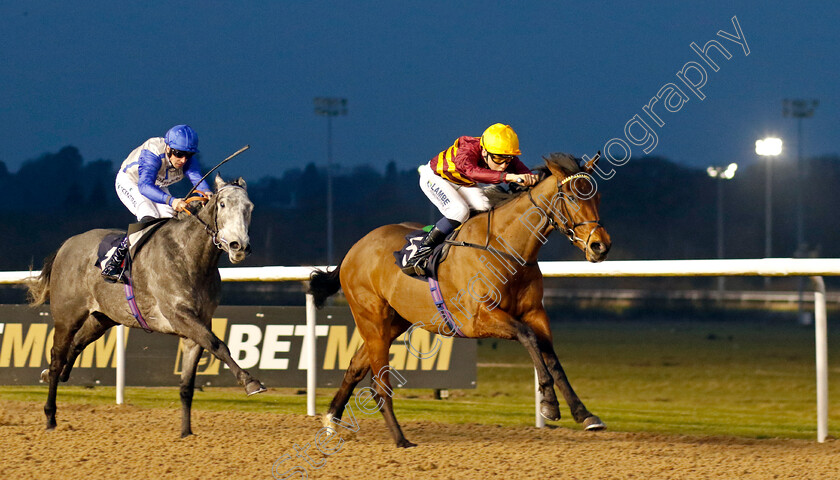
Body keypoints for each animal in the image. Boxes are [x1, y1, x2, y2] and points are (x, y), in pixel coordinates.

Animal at [28, 174, 266, 436]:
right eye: (222, 204)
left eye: (250, 207)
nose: (239, 246)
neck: (189, 256)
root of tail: (66, 245)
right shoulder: (179, 315)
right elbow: (218, 344)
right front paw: (250, 382)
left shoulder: (196, 327)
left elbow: (187, 385)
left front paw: (186, 432)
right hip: (67, 316)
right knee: (57, 356)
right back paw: (50, 416)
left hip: (102, 317)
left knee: (77, 343)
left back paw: (57, 375)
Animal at [308, 153, 612, 446]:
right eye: (572, 197)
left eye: (596, 197)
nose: (600, 246)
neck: (504, 246)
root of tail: (354, 249)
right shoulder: (478, 319)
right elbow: (528, 337)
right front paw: (549, 403)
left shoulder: (535, 313)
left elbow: (551, 357)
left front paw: (584, 414)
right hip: (373, 320)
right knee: (378, 384)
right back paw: (400, 438)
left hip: (394, 322)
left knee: (355, 367)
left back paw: (331, 421)